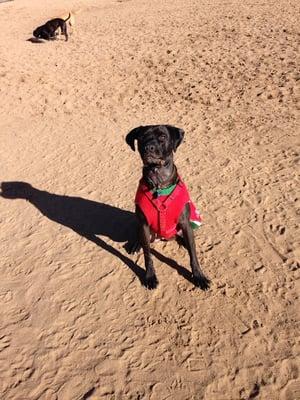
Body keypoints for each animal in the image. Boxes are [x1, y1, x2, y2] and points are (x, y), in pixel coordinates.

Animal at [125, 125, 210, 290]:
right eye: (142, 137)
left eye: (163, 137)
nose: (149, 147)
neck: (159, 184)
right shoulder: (144, 225)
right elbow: (148, 256)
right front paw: (150, 276)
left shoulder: (185, 223)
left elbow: (193, 256)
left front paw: (199, 276)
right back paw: (135, 244)